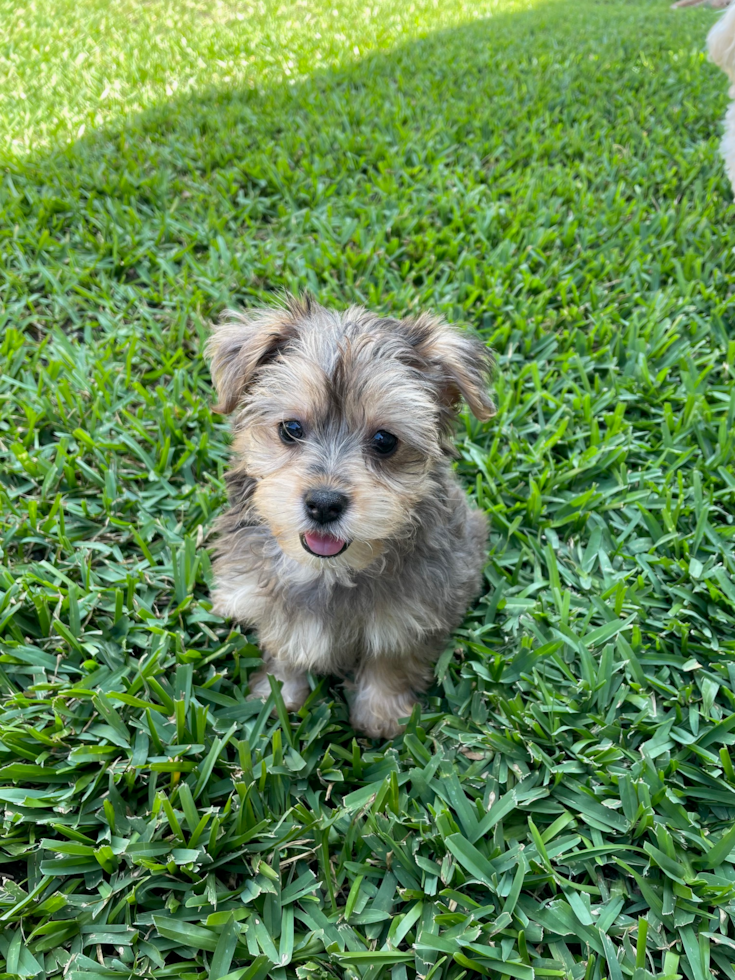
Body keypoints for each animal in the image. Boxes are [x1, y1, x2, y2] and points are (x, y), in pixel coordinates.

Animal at [206, 294, 494, 740]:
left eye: (385, 440)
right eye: (291, 428)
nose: (324, 503)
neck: (330, 572)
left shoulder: (416, 607)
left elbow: (391, 656)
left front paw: (381, 714)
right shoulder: (264, 596)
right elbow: (285, 645)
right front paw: (280, 696)